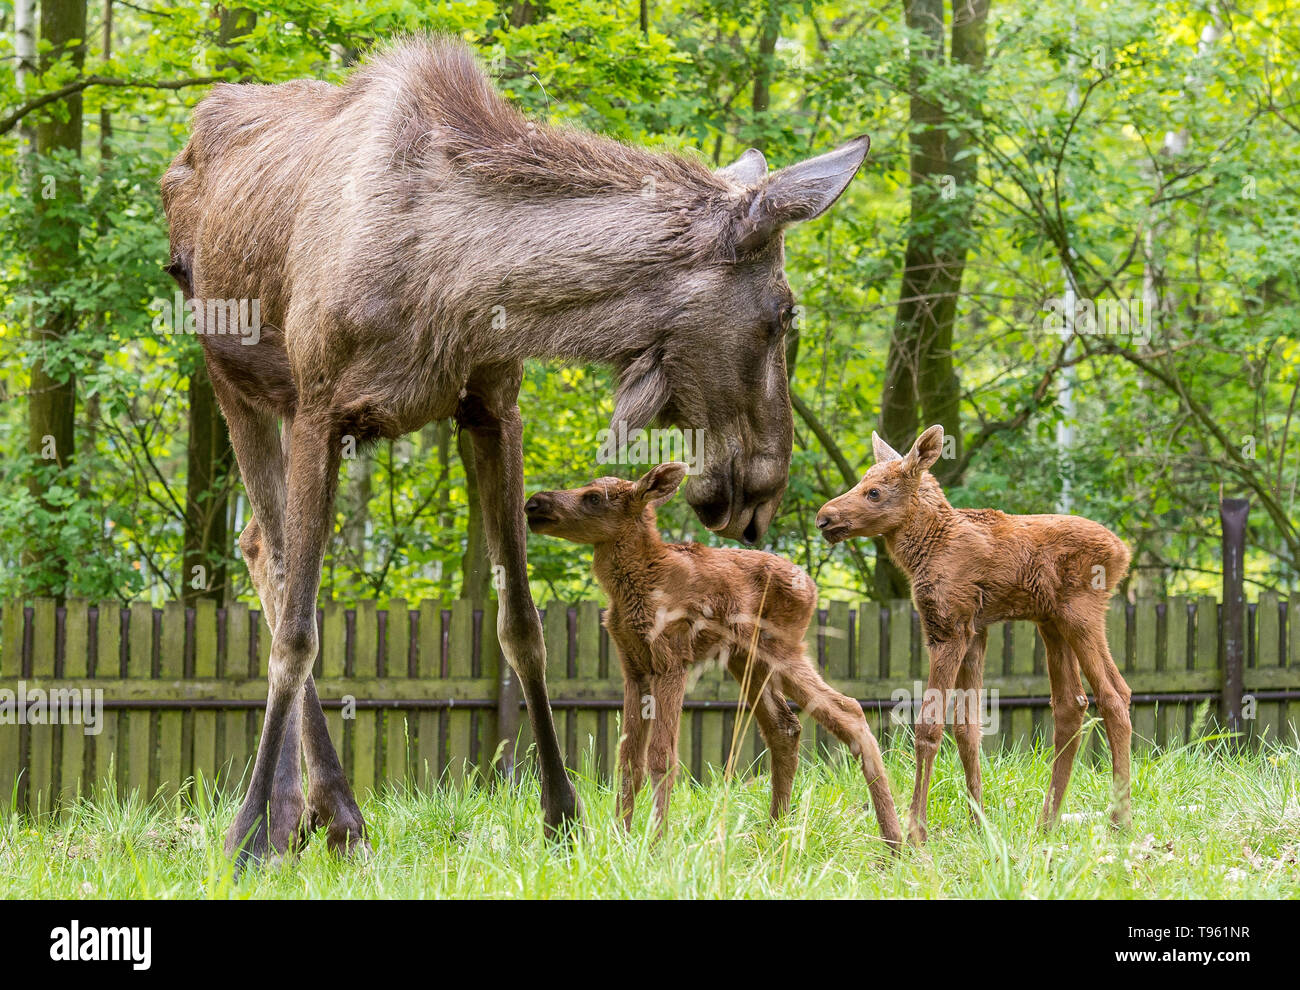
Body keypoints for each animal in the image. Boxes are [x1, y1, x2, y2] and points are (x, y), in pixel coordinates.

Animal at [525, 462, 904, 850]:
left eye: (593, 498)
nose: (533, 504)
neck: (631, 589)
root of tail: (812, 589)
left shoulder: (672, 659)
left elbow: (661, 757)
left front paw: (657, 846)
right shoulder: (633, 668)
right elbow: (627, 760)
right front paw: (621, 840)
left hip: (781, 648)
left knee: (849, 710)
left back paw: (893, 842)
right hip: (747, 659)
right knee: (785, 726)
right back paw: (775, 833)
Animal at [815, 425, 1133, 846]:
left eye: (875, 492)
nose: (824, 518)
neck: (923, 550)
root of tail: (1123, 552)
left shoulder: (947, 628)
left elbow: (929, 726)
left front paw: (917, 831)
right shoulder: (975, 630)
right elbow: (967, 728)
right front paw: (978, 824)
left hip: (1081, 614)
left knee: (1113, 695)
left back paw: (1119, 822)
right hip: (1051, 622)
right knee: (1074, 703)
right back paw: (1047, 823)